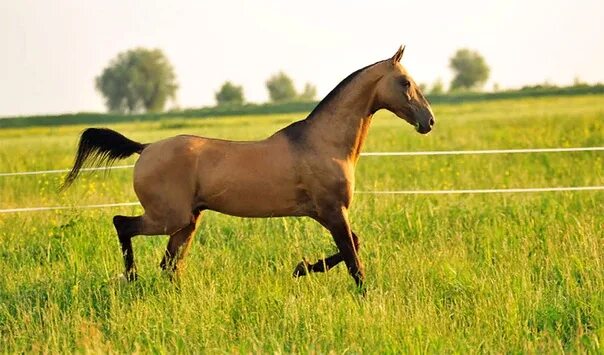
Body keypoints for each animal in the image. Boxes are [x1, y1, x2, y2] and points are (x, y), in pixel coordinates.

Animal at [62, 46, 434, 290]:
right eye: (405, 83)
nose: (428, 121)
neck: (324, 143)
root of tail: (146, 148)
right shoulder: (331, 211)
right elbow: (354, 258)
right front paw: (357, 293)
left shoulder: (327, 213)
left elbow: (353, 245)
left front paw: (301, 268)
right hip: (168, 217)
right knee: (123, 225)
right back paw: (132, 277)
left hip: (187, 222)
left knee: (168, 264)